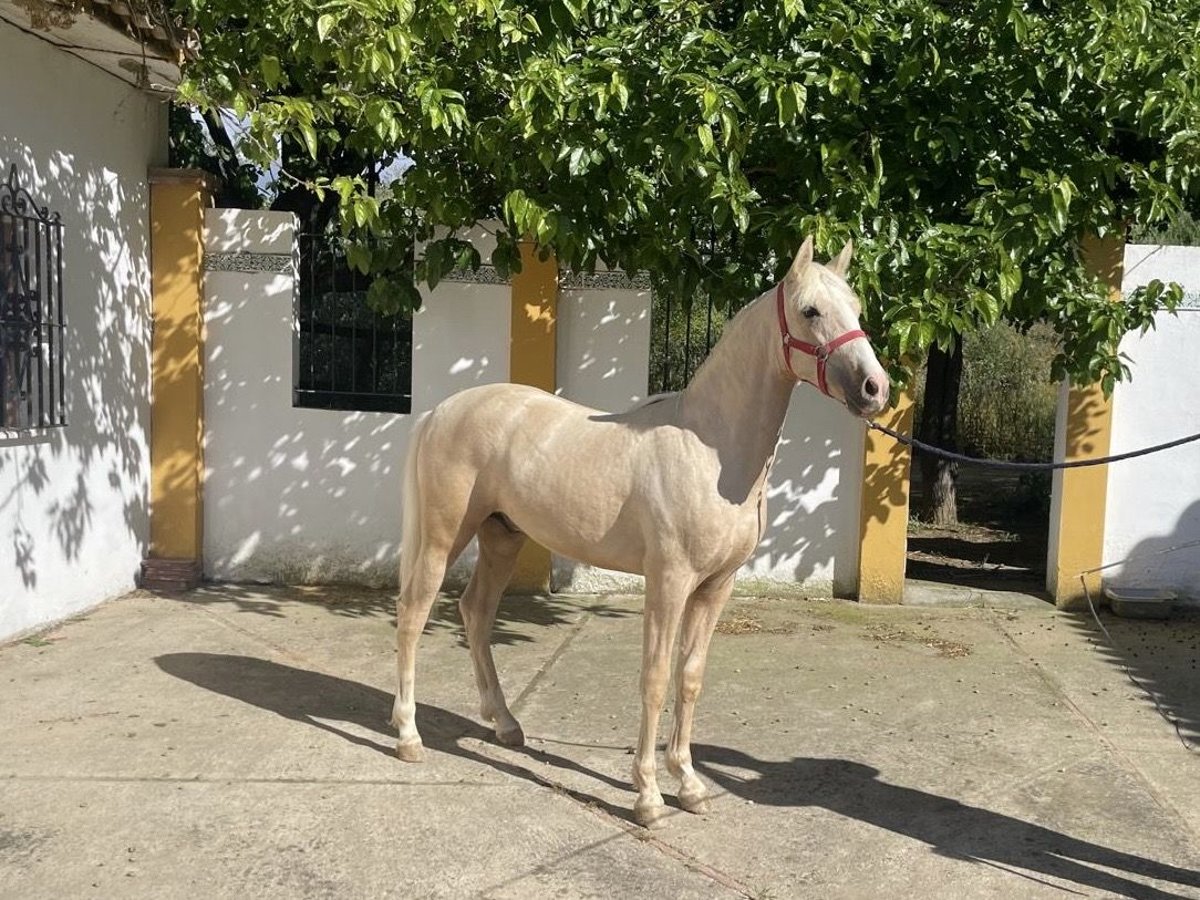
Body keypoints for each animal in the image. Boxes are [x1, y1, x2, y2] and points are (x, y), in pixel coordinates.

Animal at [393, 236, 892, 830]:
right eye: (811, 311)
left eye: (857, 308)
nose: (875, 388)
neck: (711, 450)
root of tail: (442, 410)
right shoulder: (669, 581)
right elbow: (654, 679)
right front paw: (649, 795)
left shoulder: (716, 587)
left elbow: (690, 677)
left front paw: (691, 785)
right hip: (443, 537)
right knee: (414, 615)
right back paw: (408, 736)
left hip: (502, 538)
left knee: (475, 613)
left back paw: (506, 724)